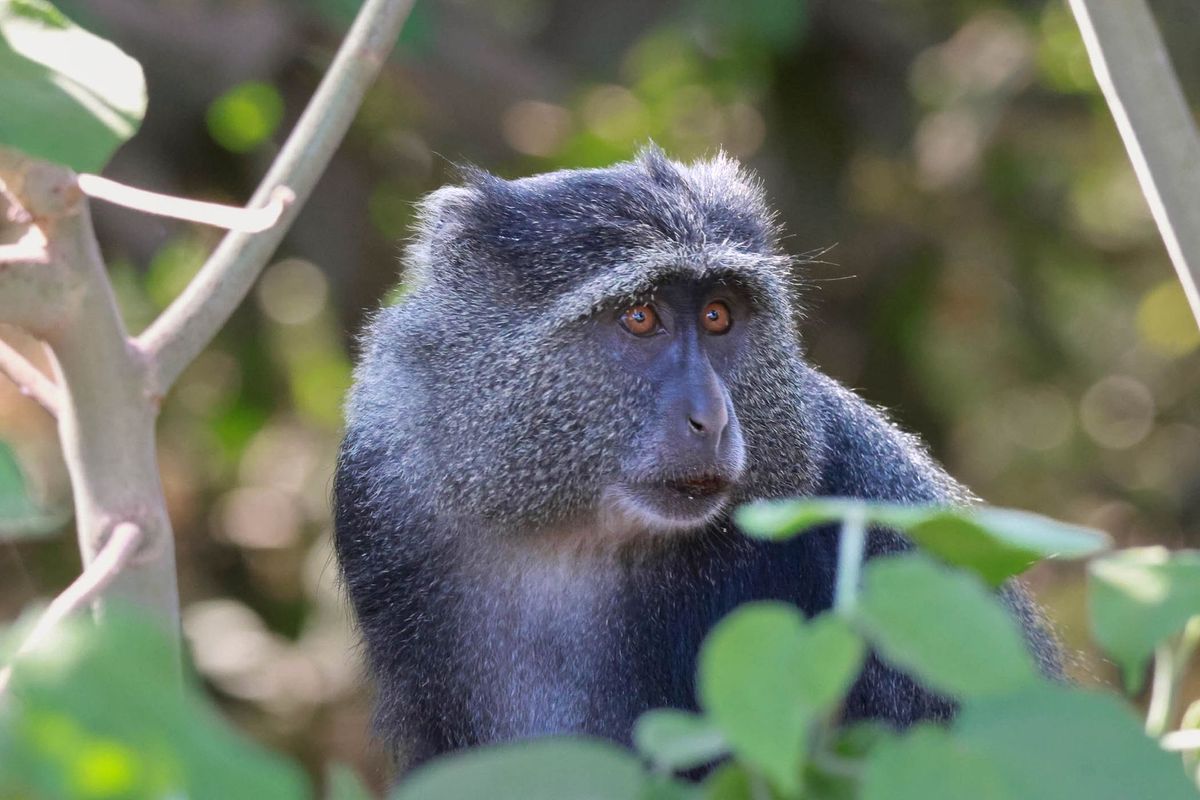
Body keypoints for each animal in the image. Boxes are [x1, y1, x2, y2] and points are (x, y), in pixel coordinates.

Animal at [333, 146, 1060, 772]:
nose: (711, 418)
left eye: (717, 316)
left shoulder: (875, 513)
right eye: (640, 318)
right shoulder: (383, 478)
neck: (567, 529)